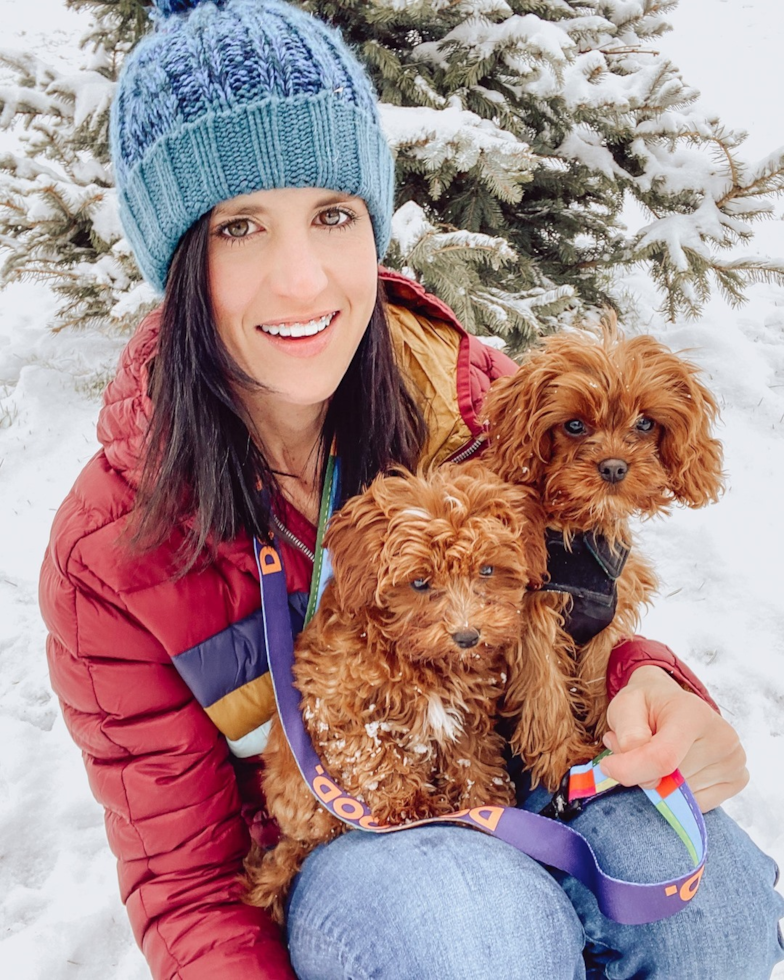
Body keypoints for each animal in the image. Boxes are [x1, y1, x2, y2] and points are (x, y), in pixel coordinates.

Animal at [243, 464, 544, 924]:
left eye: (488, 571)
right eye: (419, 582)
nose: (467, 637)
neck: (420, 661)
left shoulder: (465, 716)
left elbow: (473, 759)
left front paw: (485, 803)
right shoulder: (334, 705)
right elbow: (374, 755)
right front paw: (410, 804)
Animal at [480, 326, 724, 792]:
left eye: (645, 423)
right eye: (574, 425)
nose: (613, 467)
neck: (583, 536)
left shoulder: (608, 616)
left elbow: (596, 677)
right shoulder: (532, 616)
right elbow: (546, 687)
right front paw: (564, 755)